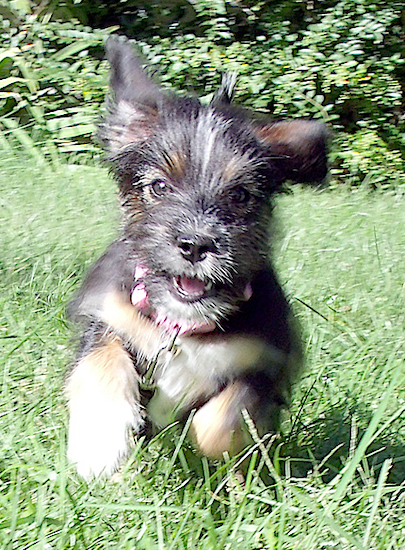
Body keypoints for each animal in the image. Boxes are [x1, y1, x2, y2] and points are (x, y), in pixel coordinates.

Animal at [64, 37, 326, 478]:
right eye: (159, 186)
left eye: (239, 194)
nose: (195, 244)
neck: (182, 326)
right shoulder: (110, 318)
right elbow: (101, 364)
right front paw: (98, 444)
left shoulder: (263, 362)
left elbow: (222, 418)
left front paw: (229, 464)